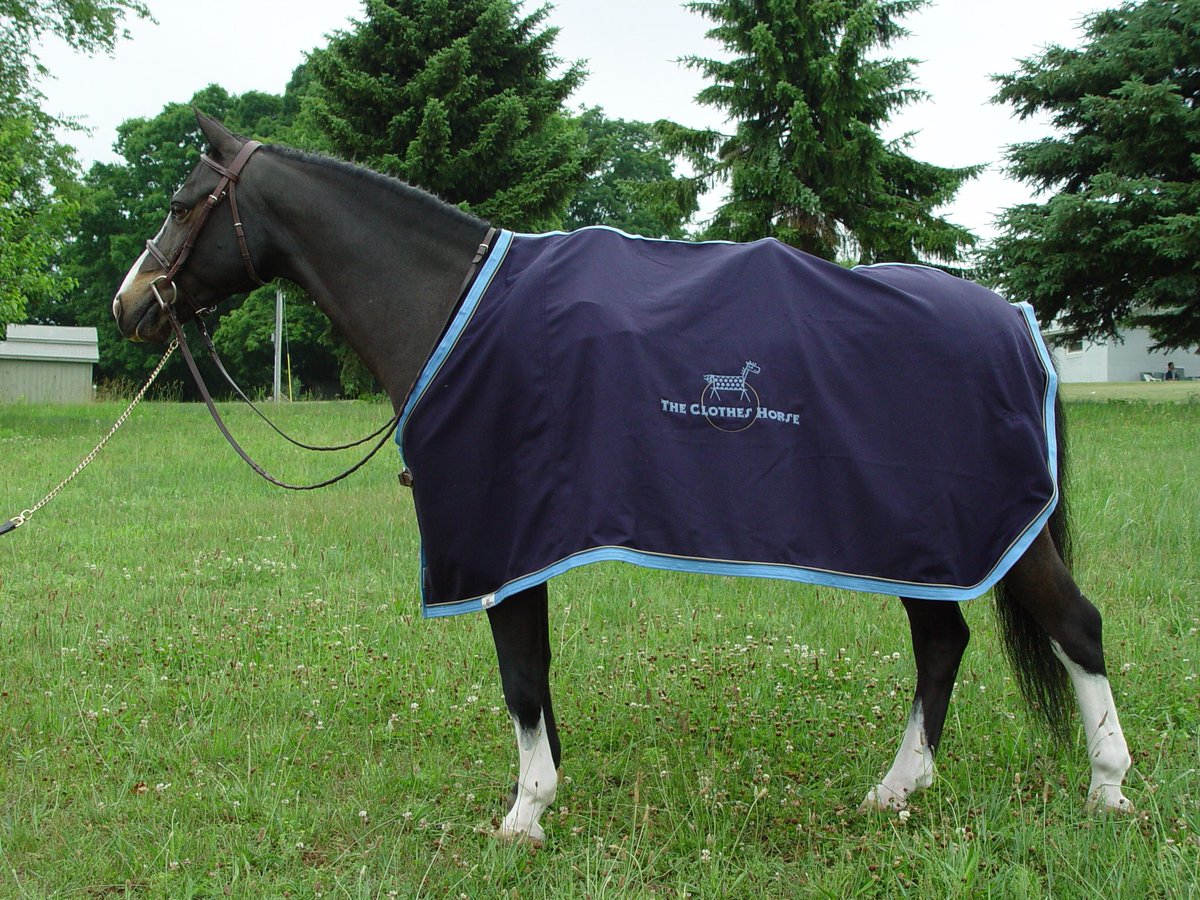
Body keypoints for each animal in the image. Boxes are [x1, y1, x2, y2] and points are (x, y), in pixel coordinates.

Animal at [112, 112, 1133, 844]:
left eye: (183, 201)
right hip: (927, 540)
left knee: (1075, 628)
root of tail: (1015, 319)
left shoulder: (501, 536)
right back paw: (897, 789)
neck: (454, 306)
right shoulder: (521, 544)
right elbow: (535, 678)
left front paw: (524, 813)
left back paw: (1109, 792)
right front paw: (541, 793)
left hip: (988, 534)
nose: (130, 306)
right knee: (943, 644)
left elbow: (520, 676)